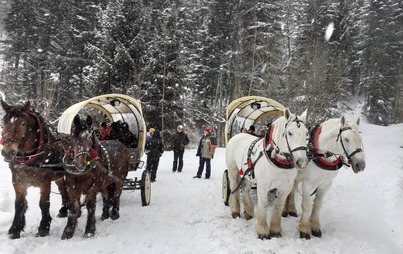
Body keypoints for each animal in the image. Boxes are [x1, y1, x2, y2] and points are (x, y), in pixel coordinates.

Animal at [0, 99, 69, 238]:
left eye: (23, 123)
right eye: (3, 122)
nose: (7, 152)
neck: (28, 158)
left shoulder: (44, 182)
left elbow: (43, 204)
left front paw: (44, 227)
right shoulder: (18, 182)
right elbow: (19, 204)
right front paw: (15, 229)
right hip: (59, 177)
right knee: (63, 189)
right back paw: (64, 210)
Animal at [227, 108, 310, 239]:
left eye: (306, 133)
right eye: (289, 133)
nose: (302, 162)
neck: (278, 161)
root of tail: (238, 135)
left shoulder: (285, 188)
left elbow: (278, 206)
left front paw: (275, 230)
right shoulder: (263, 186)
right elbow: (264, 205)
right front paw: (262, 230)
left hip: (249, 176)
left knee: (244, 189)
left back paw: (248, 211)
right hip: (233, 170)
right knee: (234, 188)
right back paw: (235, 210)